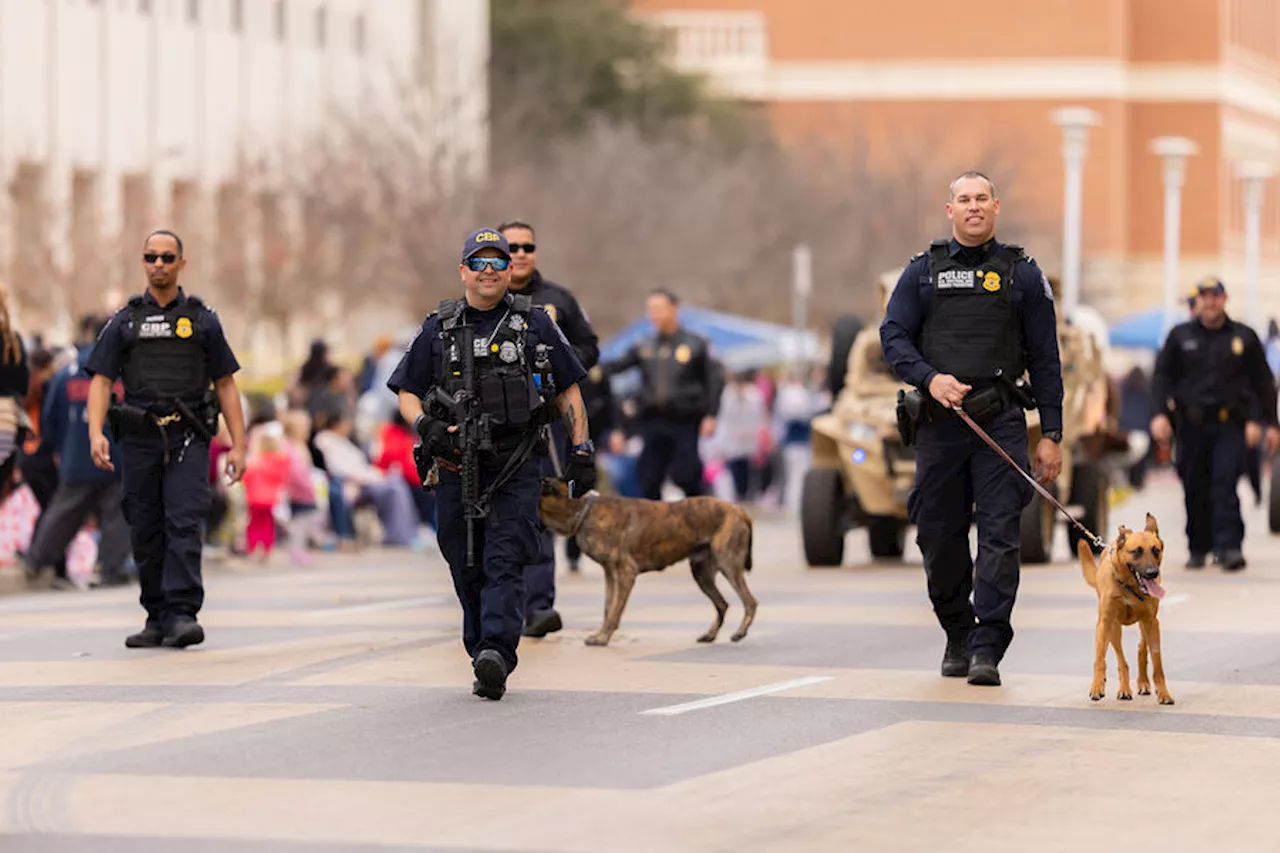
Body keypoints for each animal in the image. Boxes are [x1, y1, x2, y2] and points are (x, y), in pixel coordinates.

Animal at [535, 479, 752, 645]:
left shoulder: (626, 573)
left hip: (729, 566)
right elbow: (608, 608)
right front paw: (602, 634)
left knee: (750, 602)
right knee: (722, 604)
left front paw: (604, 637)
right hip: (702, 574)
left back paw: (740, 632)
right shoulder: (610, 574)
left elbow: (614, 611)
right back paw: (710, 634)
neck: (582, 509)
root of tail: (737, 508)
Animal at [1075, 512, 1172, 701]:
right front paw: (1097, 686)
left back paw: (1143, 683)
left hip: (1144, 625)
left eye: (1156, 550)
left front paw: (1163, 692)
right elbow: (1100, 659)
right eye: (1136, 551)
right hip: (1113, 628)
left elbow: (1157, 662)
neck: (1129, 587)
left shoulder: (1152, 622)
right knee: (1119, 658)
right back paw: (1124, 688)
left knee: (1141, 648)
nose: (1152, 573)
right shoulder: (1105, 622)